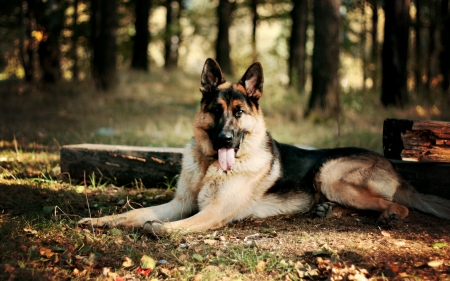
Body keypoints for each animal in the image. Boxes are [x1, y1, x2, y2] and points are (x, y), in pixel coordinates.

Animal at [79, 58, 450, 233]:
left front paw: (159, 230)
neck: (209, 166)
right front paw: (102, 221)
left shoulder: (213, 212)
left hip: (330, 173)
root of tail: (395, 170)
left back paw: (388, 214)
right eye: (217, 110)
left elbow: (176, 224)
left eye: (239, 112)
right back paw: (326, 210)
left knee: (395, 205)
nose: (226, 139)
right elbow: (135, 213)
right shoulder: (179, 203)